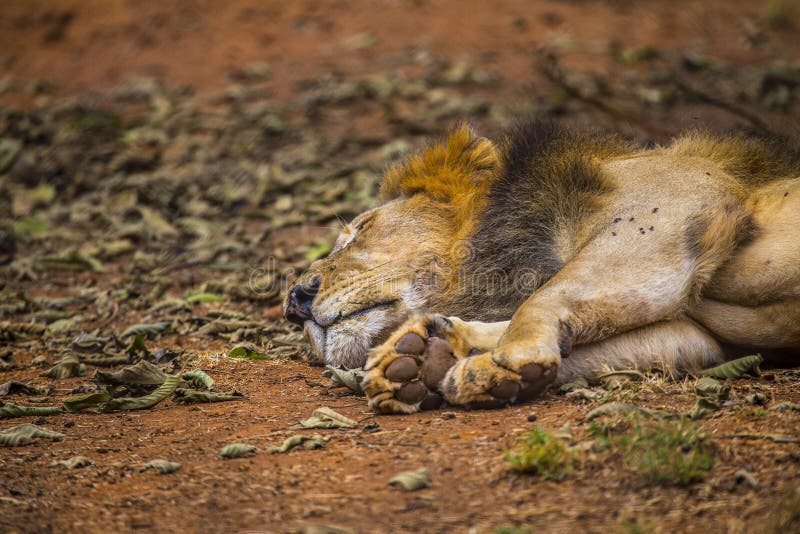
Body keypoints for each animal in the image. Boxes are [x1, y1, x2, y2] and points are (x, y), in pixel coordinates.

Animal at [282, 120, 800, 414]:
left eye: (361, 229)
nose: (294, 302)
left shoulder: (679, 201)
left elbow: (544, 295)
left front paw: (503, 357)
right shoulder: (701, 336)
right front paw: (429, 361)